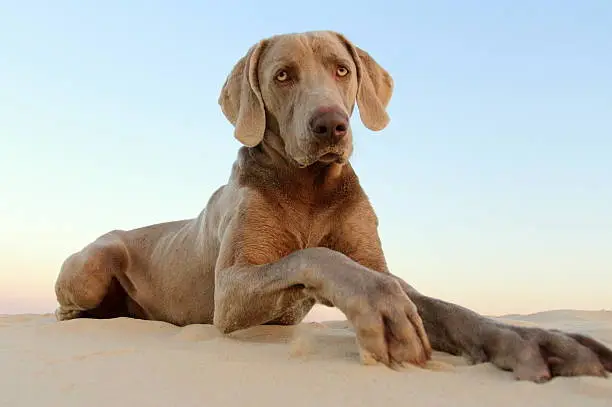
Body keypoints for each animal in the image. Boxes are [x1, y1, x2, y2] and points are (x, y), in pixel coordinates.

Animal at [53, 29, 612, 382]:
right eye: (282, 75)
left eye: (342, 70)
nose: (330, 125)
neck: (311, 186)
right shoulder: (229, 295)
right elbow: (318, 256)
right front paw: (379, 309)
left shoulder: (376, 259)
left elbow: (442, 306)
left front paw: (543, 343)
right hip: (92, 261)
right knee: (70, 305)